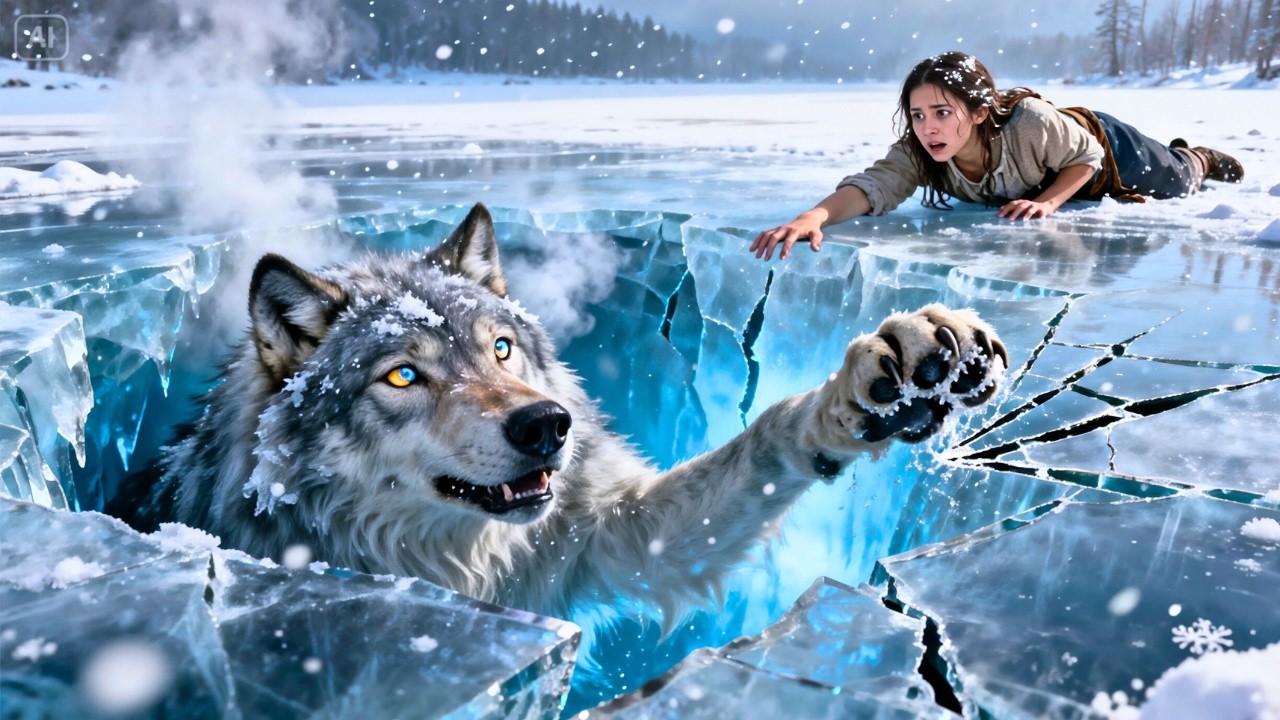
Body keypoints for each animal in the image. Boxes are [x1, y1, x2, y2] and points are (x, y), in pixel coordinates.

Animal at [111, 203, 1008, 620]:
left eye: (502, 348)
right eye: (402, 376)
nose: (548, 426)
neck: (457, 563)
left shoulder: (615, 537)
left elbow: (761, 441)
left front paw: (886, 375)